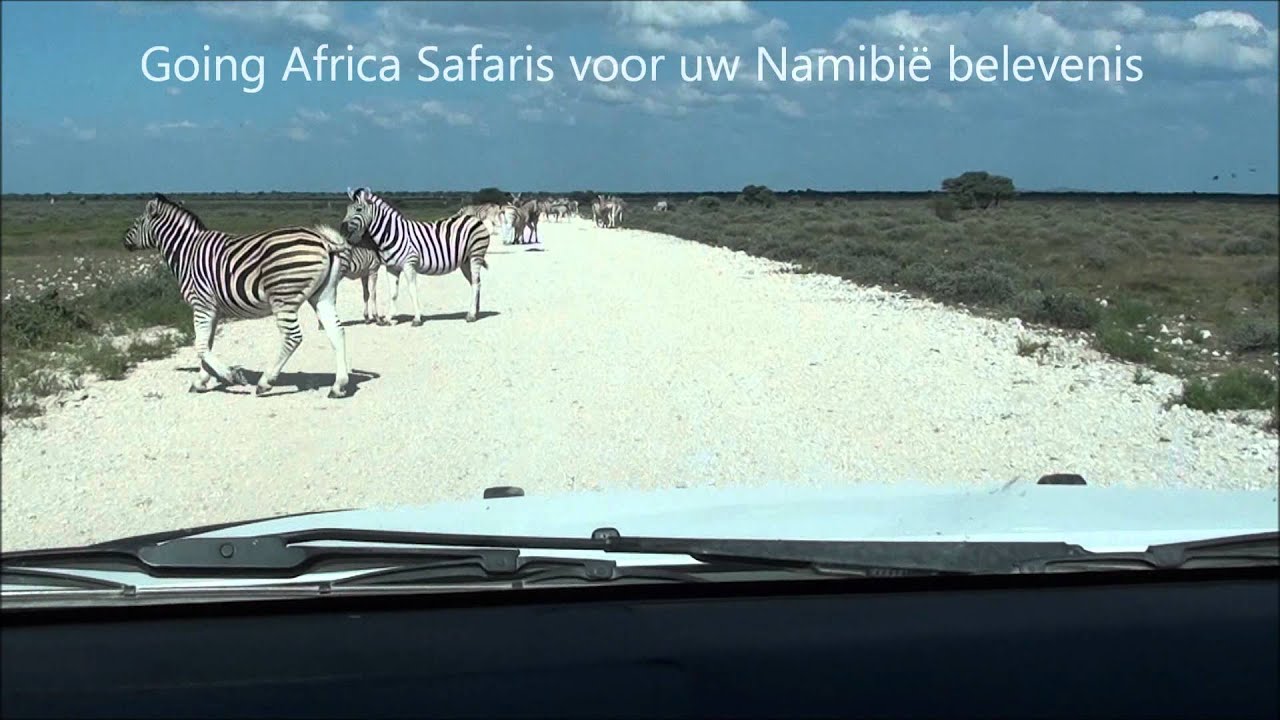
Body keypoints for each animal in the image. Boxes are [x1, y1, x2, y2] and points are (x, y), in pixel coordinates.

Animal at [122, 193, 352, 398]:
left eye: (137, 222)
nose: (124, 241)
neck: (186, 252)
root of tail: (324, 241)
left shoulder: (201, 304)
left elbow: (200, 346)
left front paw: (230, 376)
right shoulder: (212, 309)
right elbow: (207, 344)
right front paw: (201, 381)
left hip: (283, 296)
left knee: (292, 337)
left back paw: (265, 382)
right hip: (323, 296)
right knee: (337, 332)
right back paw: (338, 386)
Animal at [341, 187, 491, 325]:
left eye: (359, 209)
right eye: (347, 209)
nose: (342, 229)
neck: (391, 234)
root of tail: (473, 218)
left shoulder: (409, 264)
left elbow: (412, 291)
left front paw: (417, 319)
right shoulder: (391, 267)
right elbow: (393, 293)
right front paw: (388, 318)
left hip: (476, 255)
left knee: (476, 283)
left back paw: (471, 315)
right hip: (465, 261)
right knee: (475, 283)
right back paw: (475, 312)